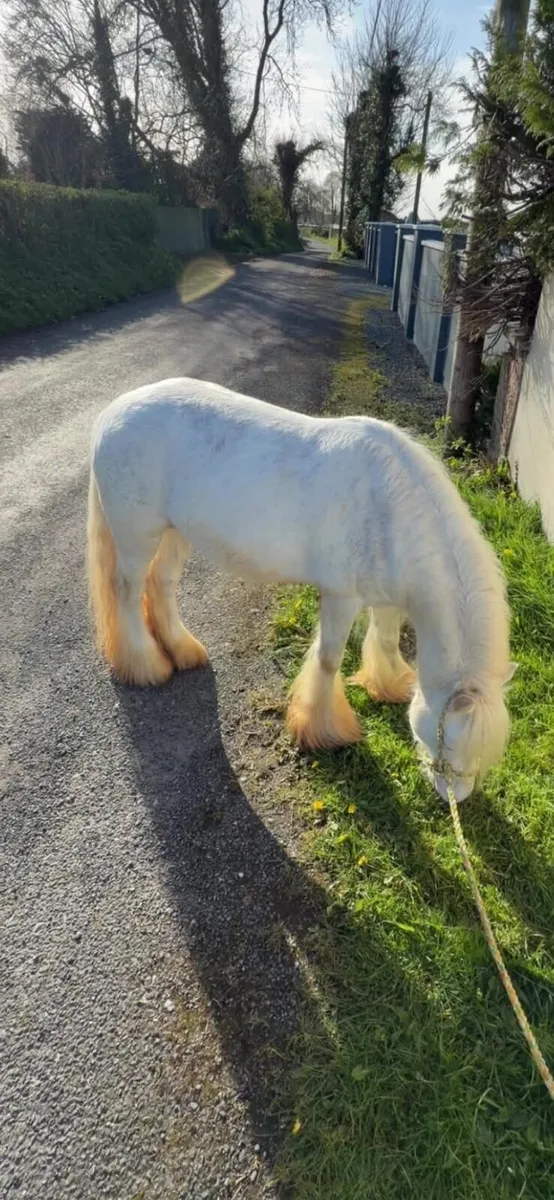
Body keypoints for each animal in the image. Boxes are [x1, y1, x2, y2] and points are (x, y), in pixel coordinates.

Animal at [87, 377, 517, 802]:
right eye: (448, 741)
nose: (455, 797)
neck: (390, 509)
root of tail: (112, 412)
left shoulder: (388, 599)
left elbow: (386, 641)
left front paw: (391, 685)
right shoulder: (341, 597)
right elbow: (327, 661)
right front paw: (324, 730)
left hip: (176, 532)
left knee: (161, 584)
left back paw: (182, 651)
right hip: (137, 537)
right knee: (127, 591)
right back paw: (147, 665)